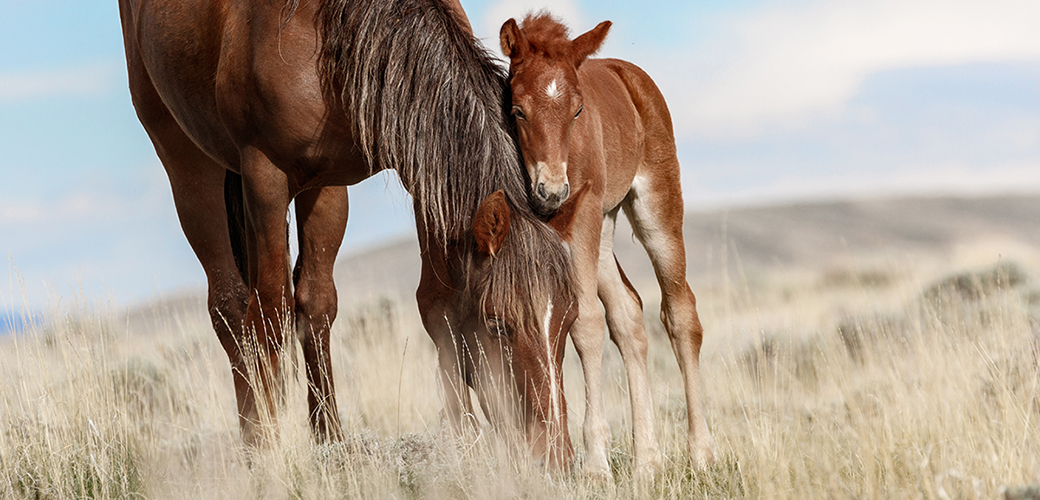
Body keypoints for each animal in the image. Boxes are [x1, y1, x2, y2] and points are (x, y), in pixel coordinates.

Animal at [119, 0, 586, 467]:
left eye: (568, 320)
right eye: (498, 324)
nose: (557, 456)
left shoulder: (361, 175)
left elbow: (419, 304)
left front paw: (341, 441)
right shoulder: (264, 176)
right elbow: (269, 311)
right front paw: (270, 452)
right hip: (188, 164)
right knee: (230, 306)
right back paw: (254, 442)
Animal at [501, 13, 719, 474]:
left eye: (578, 110)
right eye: (518, 110)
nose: (551, 191)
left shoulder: (582, 208)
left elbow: (584, 323)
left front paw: (596, 463)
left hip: (653, 207)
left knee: (680, 311)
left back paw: (701, 452)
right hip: (603, 226)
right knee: (628, 314)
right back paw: (646, 460)